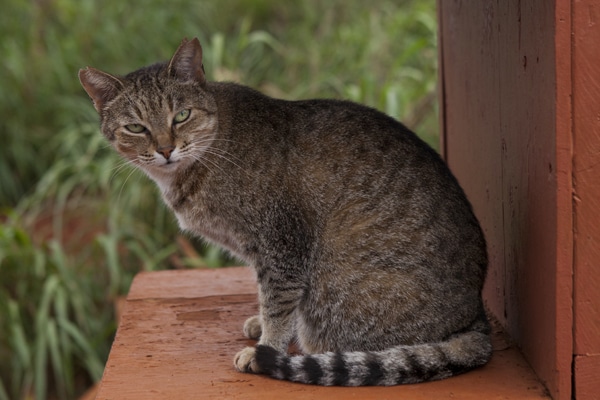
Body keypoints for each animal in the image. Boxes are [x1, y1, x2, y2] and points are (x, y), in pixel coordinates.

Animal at [79, 38, 492, 388]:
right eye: (136, 127)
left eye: (181, 115)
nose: (165, 149)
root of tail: (477, 319)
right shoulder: (261, 250)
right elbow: (270, 299)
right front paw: (260, 324)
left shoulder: (282, 242)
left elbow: (277, 303)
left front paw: (267, 346)